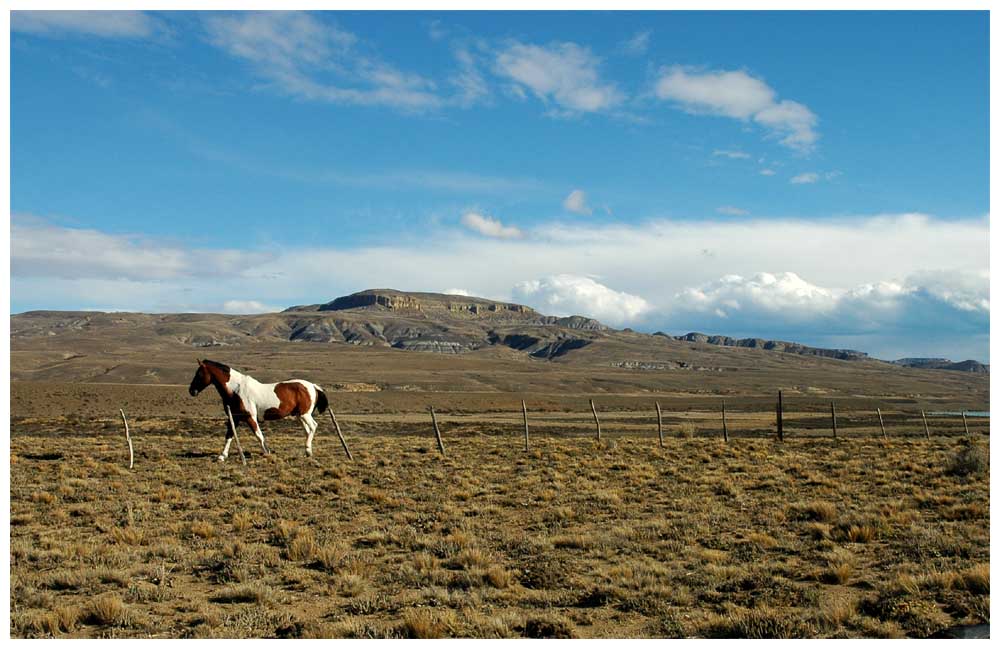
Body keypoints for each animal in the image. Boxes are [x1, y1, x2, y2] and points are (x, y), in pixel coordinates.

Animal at [186, 360, 330, 460]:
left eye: (199, 374)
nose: (191, 391)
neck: (236, 390)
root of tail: (313, 386)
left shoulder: (250, 417)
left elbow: (258, 435)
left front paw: (267, 452)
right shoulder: (235, 418)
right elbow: (229, 435)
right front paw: (222, 456)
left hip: (305, 415)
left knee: (313, 426)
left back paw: (308, 451)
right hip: (299, 416)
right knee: (308, 430)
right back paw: (307, 451)